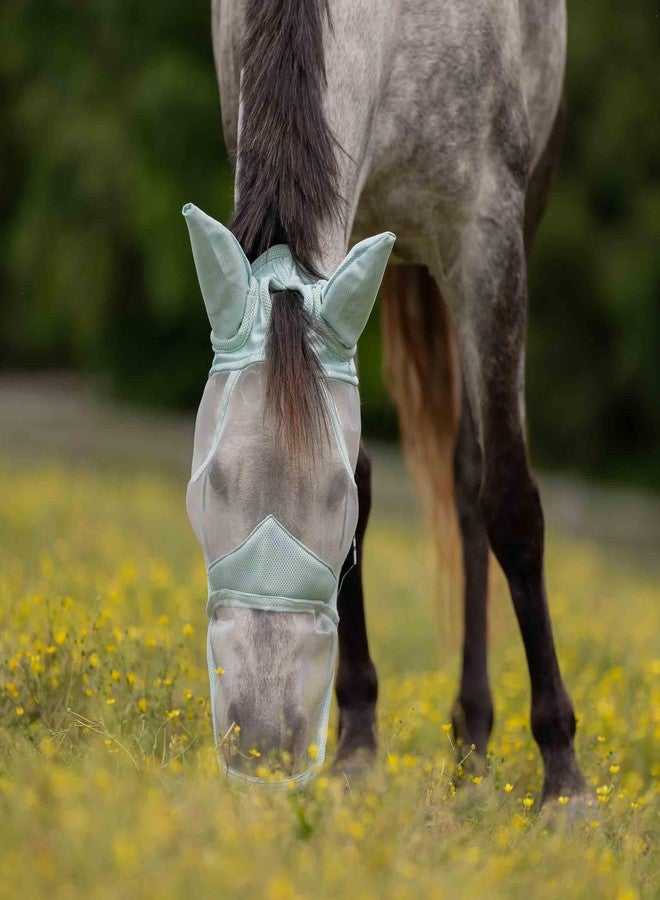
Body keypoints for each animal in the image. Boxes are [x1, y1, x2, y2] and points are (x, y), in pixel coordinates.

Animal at [199, 0, 586, 802]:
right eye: (209, 485)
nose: (264, 741)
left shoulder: (487, 235)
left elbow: (511, 501)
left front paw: (565, 775)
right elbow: (371, 475)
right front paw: (358, 740)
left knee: (472, 478)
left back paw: (476, 738)